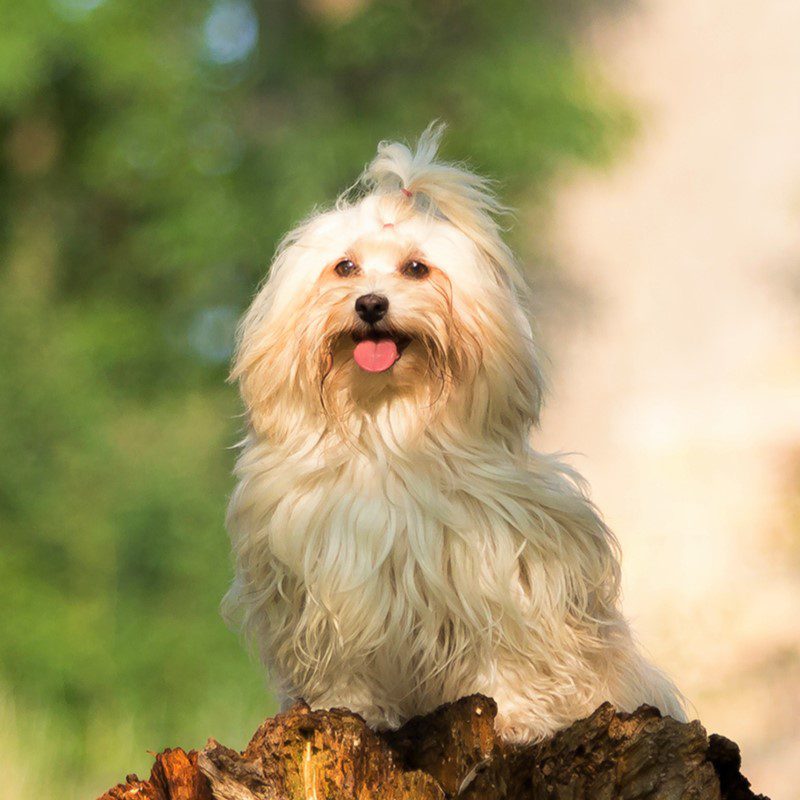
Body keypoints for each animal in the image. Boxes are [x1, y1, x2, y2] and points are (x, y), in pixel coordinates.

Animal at [222, 125, 684, 744]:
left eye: (416, 269)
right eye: (345, 267)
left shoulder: (502, 570)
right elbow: (344, 664)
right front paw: (351, 710)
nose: (371, 303)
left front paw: (515, 716)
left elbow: (507, 649)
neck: (385, 428)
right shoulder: (325, 584)